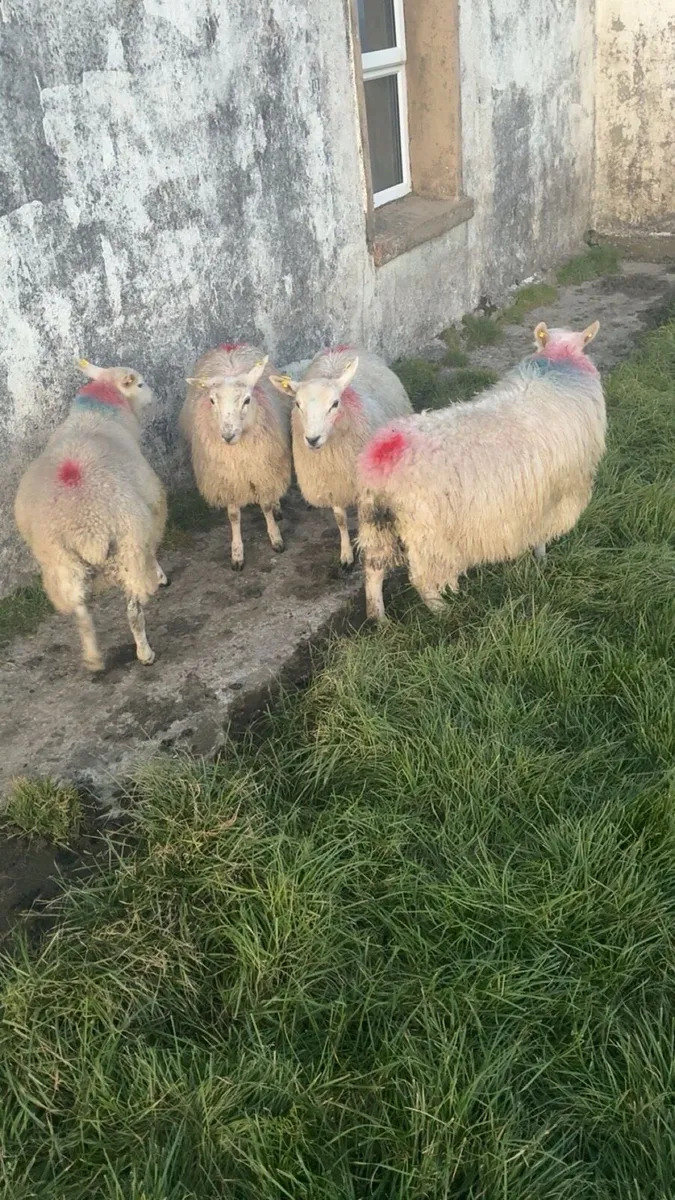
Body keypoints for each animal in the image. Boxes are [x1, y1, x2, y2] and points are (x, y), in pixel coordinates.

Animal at [14, 359, 168, 671]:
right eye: (141, 384)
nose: (153, 398)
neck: (97, 414)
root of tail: (87, 527)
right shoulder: (150, 502)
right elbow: (154, 545)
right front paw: (160, 575)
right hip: (128, 547)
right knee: (133, 611)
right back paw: (145, 653)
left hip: (60, 561)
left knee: (82, 613)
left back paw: (94, 658)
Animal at [180, 343, 292, 570]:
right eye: (212, 400)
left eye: (247, 400)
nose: (228, 435)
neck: (238, 452)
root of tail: (230, 345)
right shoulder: (227, 480)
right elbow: (233, 516)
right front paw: (237, 553)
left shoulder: (261, 470)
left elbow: (266, 505)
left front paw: (275, 538)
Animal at [270, 346, 412, 567]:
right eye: (298, 404)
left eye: (335, 403)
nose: (312, 439)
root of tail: (340, 347)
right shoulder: (332, 483)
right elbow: (340, 520)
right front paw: (346, 554)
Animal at [357, 321, 606, 621]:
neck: (557, 363)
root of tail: (385, 453)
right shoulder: (556, 496)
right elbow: (541, 535)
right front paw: (542, 559)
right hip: (426, 532)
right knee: (421, 578)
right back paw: (443, 611)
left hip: (374, 521)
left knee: (373, 568)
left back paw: (380, 618)